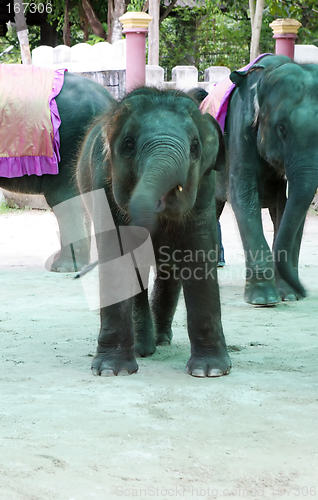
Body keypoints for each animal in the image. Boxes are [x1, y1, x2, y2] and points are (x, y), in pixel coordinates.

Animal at [77, 87, 231, 376]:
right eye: (128, 144)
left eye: (195, 147)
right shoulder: (103, 185)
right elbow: (118, 255)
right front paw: (111, 370)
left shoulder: (204, 187)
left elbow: (199, 251)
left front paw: (210, 371)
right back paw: (143, 347)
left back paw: (161, 340)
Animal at [204, 54, 318, 304]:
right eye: (282, 129)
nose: (304, 291)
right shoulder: (239, 129)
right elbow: (244, 195)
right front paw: (263, 300)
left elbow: (290, 207)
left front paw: (289, 295)